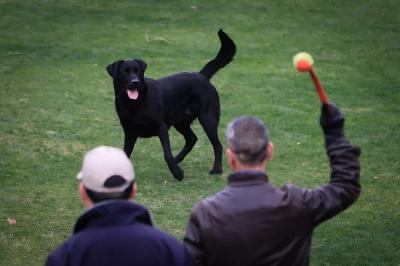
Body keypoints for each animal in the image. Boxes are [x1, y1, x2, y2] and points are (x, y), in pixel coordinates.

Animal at [108, 30, 236, 181]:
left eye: (138, 71)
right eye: (124, 72)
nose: (135, 82)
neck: (134, 103)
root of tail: (202, 76)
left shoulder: (161, 127)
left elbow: (167, 154)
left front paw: (178, 173)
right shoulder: (129, 132)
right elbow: (125, 154)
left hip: (208, 119)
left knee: (217, 146)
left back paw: (216, 169)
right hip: (180, 122)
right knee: (192, 139)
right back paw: (178, 159)